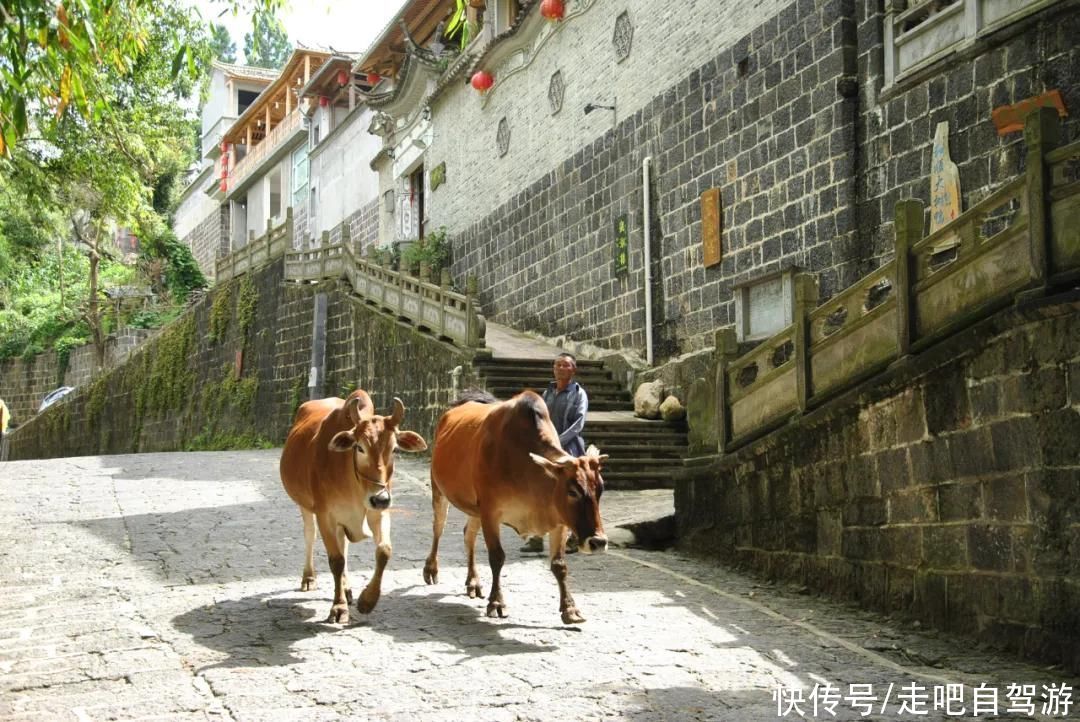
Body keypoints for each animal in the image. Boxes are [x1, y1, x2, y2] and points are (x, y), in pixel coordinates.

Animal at [280, 390, 427, 621]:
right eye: (359, 448)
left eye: (394, 449)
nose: (381, 498)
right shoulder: (326, 516)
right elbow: (336, 561)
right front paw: (338, 607)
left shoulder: (378, 513)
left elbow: (384, 551)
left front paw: (367, 600)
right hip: (305, 506)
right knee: (310, 536)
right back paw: (309, 578)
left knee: (345, 547)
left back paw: (348, 589)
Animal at [421, 390, 609, 621]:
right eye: (572, 491)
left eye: (600, 489)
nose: (598, 542)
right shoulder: (491, 511)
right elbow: (497, 557)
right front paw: (496, 602)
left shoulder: (559, 521)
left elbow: (559, 565)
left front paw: (570, 609)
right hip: (439, 490)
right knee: (438, 528)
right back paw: (431, 569)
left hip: (474, 508)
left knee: (468, 534)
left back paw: (473, 582)